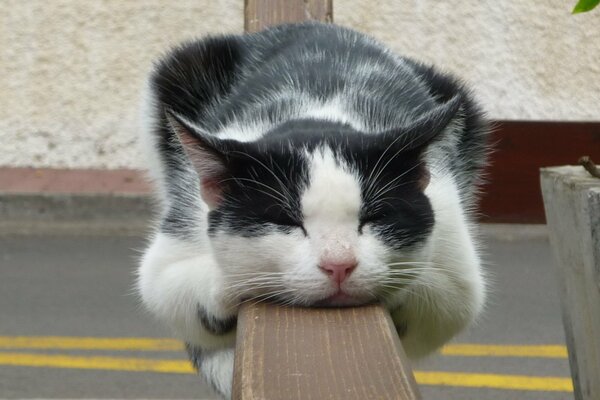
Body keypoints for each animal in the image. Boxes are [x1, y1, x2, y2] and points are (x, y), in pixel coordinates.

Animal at [138, 22, 490, 400]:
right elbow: (166, 284)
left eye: (375, 217)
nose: (339, 264)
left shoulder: (453, 239)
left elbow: (450, 297)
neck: (319, 112)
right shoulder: (182, 225)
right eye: (285, 220)